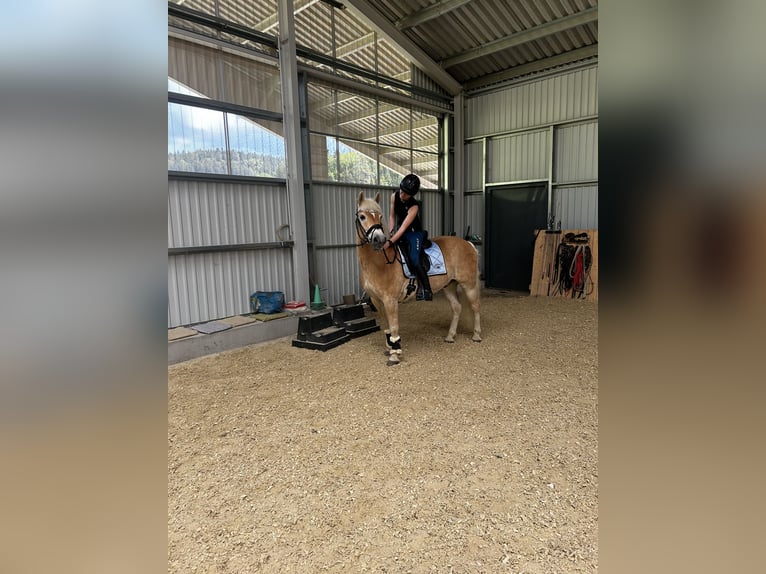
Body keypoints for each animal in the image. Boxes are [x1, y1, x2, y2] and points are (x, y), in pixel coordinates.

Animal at [356, 191, 486, 366]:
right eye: (362, 216)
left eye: (380, 216)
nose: (379, 240)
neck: (379, 261)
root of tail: (468, 244)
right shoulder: (376, 300)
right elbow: (386, 324)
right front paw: (389, 347)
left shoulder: (390, 300)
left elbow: (394, 326)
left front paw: (395, 354)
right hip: (449, 285)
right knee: (457, 307)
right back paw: (450, 336)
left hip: (469, 284)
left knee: (475, 306)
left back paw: (476, 335)